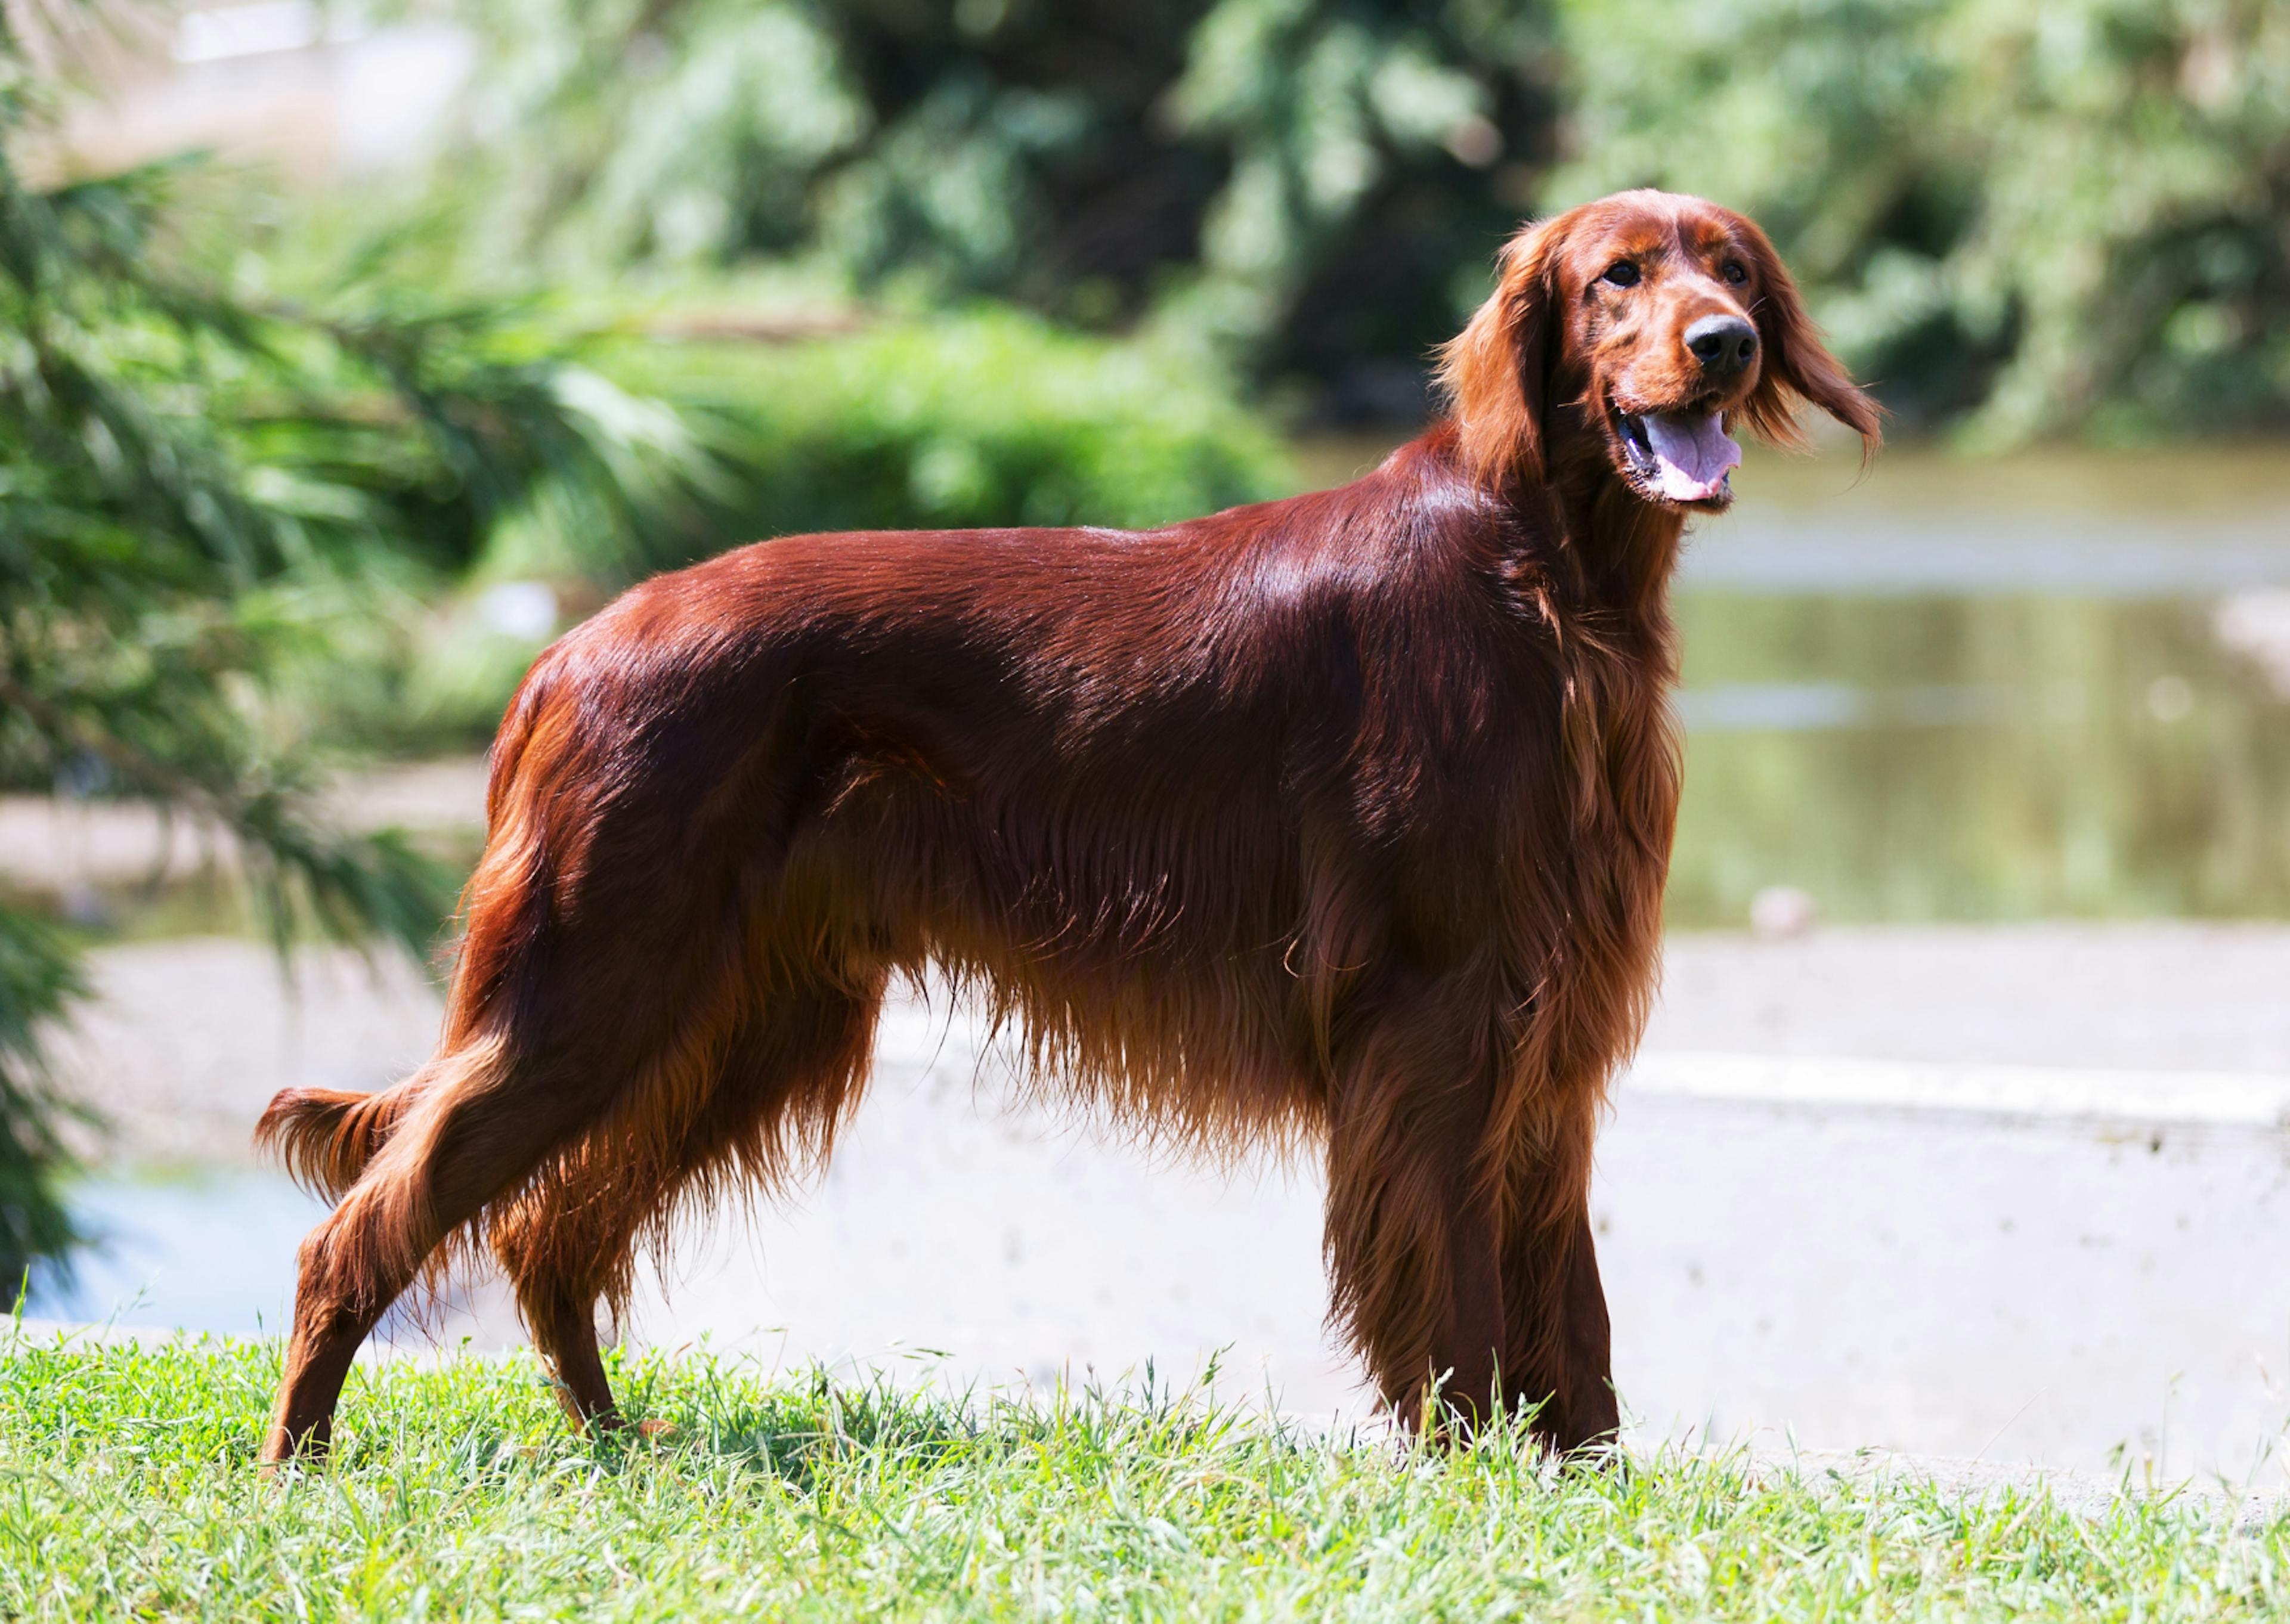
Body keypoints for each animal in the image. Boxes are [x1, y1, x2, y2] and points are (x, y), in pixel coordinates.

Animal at [263, 187, 1877, 1456]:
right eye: (1619, 276)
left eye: (1732, 270)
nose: (1722, 347)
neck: (1541, 574)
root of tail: (570, 646)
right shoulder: (1438, 1007)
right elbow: (1464, 1300)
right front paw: (1477, 1473)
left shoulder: (1550, 1023)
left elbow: (1575, 1317)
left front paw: (1585, 1490)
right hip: (596, 986)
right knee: (364, 1226)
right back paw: (300, 1465)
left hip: (737, 1015)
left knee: (548, 1231)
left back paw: (611, 1439)